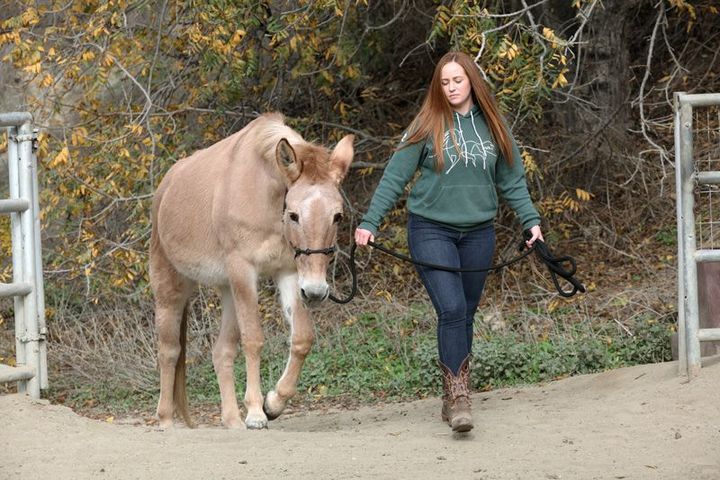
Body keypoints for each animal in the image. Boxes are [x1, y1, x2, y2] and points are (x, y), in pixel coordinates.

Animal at [150, 112, 354, 429]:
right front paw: (257, 413)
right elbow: (254, 340)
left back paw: (232, 420)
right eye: (294, 215)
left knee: (221, 352)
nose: (316, 292)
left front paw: (274, 403)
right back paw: (166, 421)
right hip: (171, 288)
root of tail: (166, 187)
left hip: (228, 290)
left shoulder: (289, 273)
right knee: (169, 352)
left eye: (337, 216)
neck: (265, 197)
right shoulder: (245, 272)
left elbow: (302, 339)